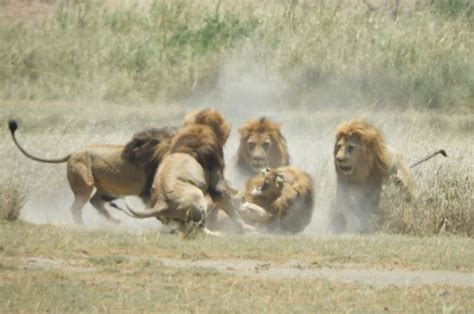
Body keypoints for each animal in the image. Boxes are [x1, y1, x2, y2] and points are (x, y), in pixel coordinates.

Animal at [7, 119, 176, 224]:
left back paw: (116, 221)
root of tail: (74, 152)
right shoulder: (148, 190)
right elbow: (158, 209)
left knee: (95, 201)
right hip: (85, 182)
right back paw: (83, 227)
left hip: (109, 189)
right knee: (77, 207)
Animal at [114, 109, 256, 234]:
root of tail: (162, 203)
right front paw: (247, 227)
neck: (199, 127)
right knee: (200, 229)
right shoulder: (217, 179)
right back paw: (218, 234)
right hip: (198, 197)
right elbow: (229, 203)